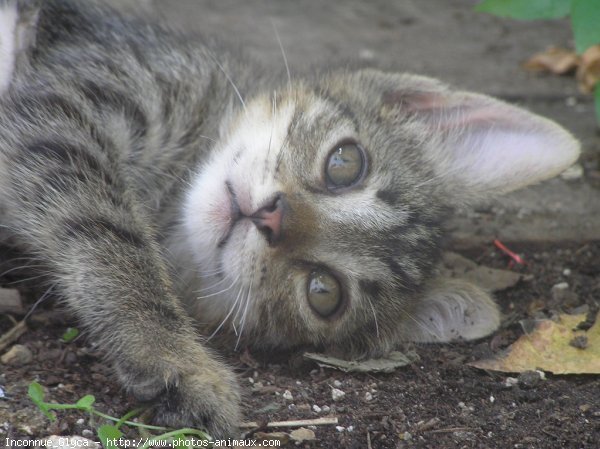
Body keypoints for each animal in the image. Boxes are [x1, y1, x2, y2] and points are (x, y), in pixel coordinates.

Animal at [1, 0, 580, 438]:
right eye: (345, 163)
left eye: (324, 292)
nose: (271, 218)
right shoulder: (72, 100)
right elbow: (109, 239)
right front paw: (174, 357)